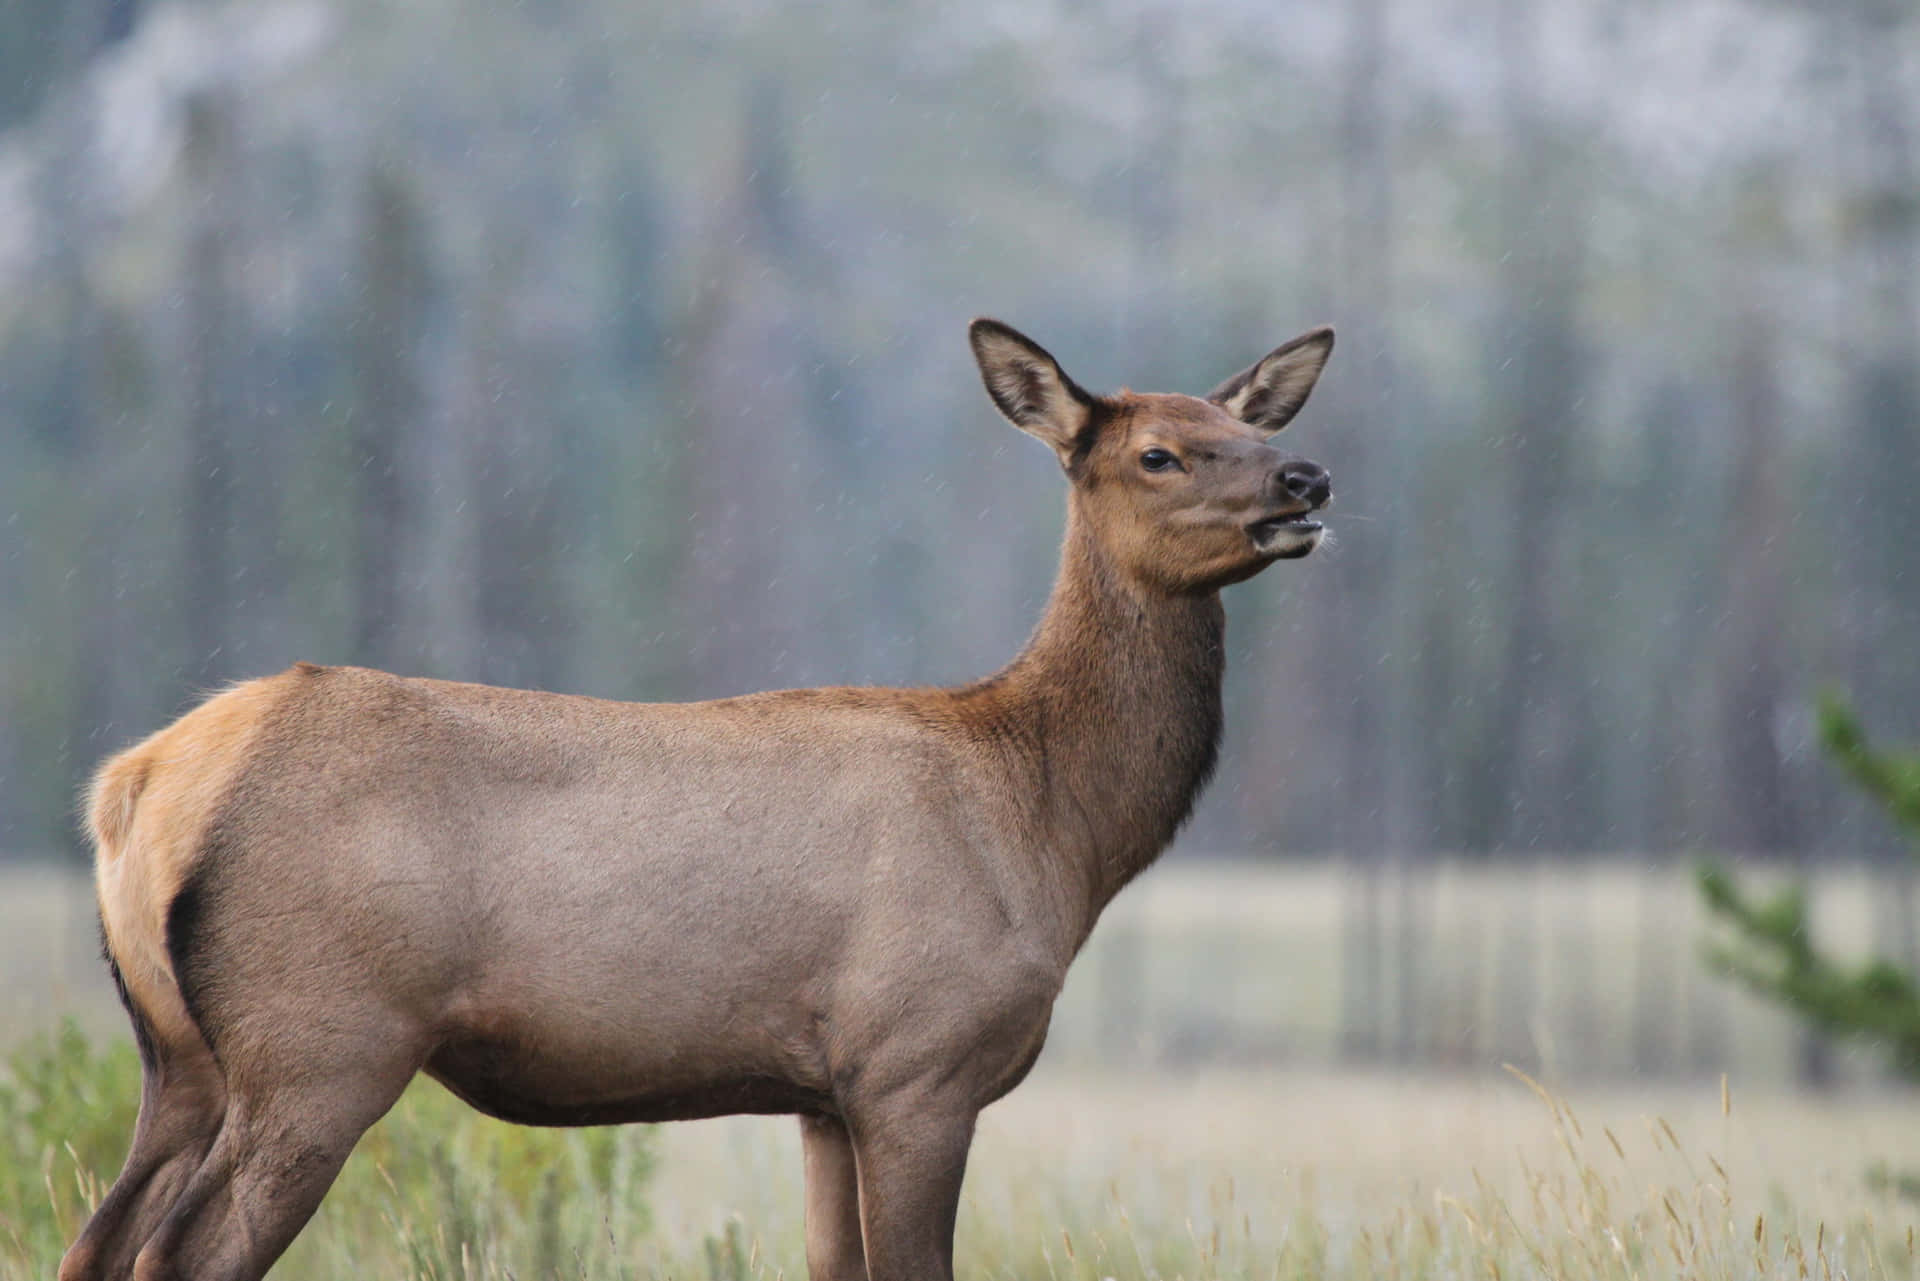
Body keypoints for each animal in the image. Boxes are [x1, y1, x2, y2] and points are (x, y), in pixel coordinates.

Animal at [63, 313, 1336, 1281]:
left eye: (1251, 423)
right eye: (1160, 452)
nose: (1308, 475)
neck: (1055, 827)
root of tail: (133, 788)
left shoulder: (824, 1094)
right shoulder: (918, 1058)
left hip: (181, 1055)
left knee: (99, 1239)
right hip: (320, 1041)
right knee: (179, 1254)